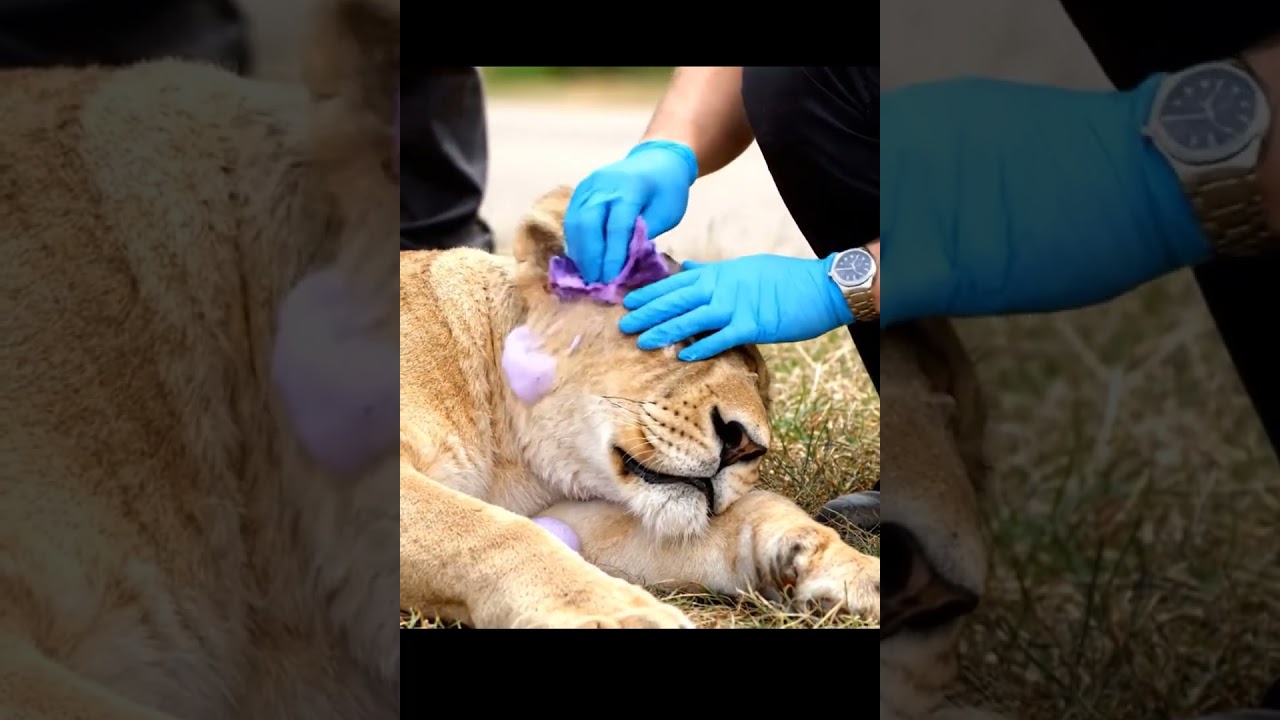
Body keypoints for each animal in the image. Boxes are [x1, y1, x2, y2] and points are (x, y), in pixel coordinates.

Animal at [398, 185, 881, 628]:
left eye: (762, 392)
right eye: (684, 335)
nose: (744, 445)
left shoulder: (573, 515)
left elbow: (752, 511)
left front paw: (854, 571)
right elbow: (494, 534)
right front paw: (620, 616)